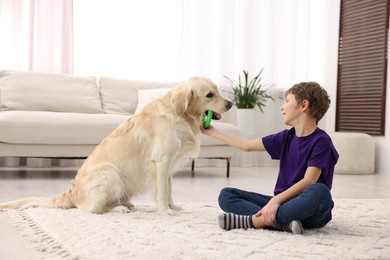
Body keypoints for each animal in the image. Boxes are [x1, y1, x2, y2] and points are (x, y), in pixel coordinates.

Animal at [0, 76, 232, 215]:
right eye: (209, 94)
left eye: (218, 90)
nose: (231, 103)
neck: (178, 113)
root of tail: (70, 193)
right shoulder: (161, 160)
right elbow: (163, 191)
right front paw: (165, 211)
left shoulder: (168, 165)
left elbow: (169, 189)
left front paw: (173, 206)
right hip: (110, 173)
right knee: (92, 210)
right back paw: (119, 209)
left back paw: (125, 203)